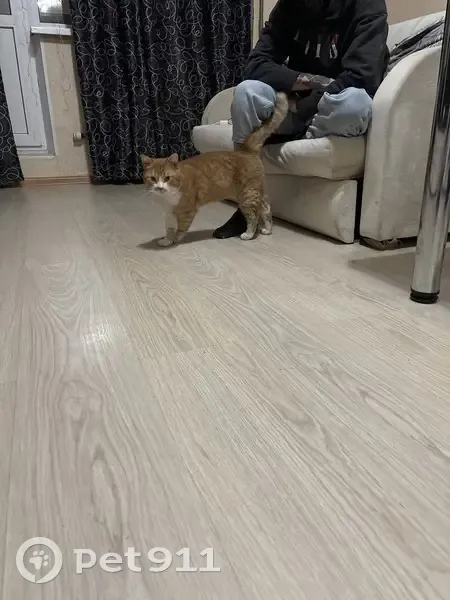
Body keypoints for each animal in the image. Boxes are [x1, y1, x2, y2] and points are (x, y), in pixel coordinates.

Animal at [141, 92, 288, 247]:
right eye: (153, 178)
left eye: (167, 178)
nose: (160, 187)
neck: (168, 197)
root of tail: (245, 149)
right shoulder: (169, 212)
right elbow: (169, 227)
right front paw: (167, 240)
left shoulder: (186, 210)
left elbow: (181, 228)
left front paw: (176, 240)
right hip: (256, 190)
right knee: (266, 208)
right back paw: (267, 229)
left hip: (247, 194)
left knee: (254, 215)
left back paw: (248, 234)